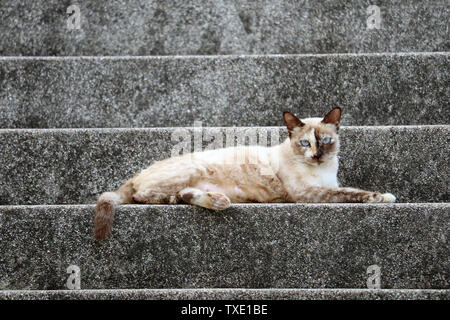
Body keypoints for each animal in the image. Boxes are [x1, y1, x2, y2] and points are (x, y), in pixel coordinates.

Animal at [93, 107, 396, 240]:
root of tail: (139, 172)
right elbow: (351, 192)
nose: (316, 155)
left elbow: (347, 188)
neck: (323, 170)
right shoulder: (309, 193)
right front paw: (385, 197)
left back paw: (217, 201)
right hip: (188, 169)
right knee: (144, 195)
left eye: (324, 141)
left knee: (184, 194)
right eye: (304, 143)